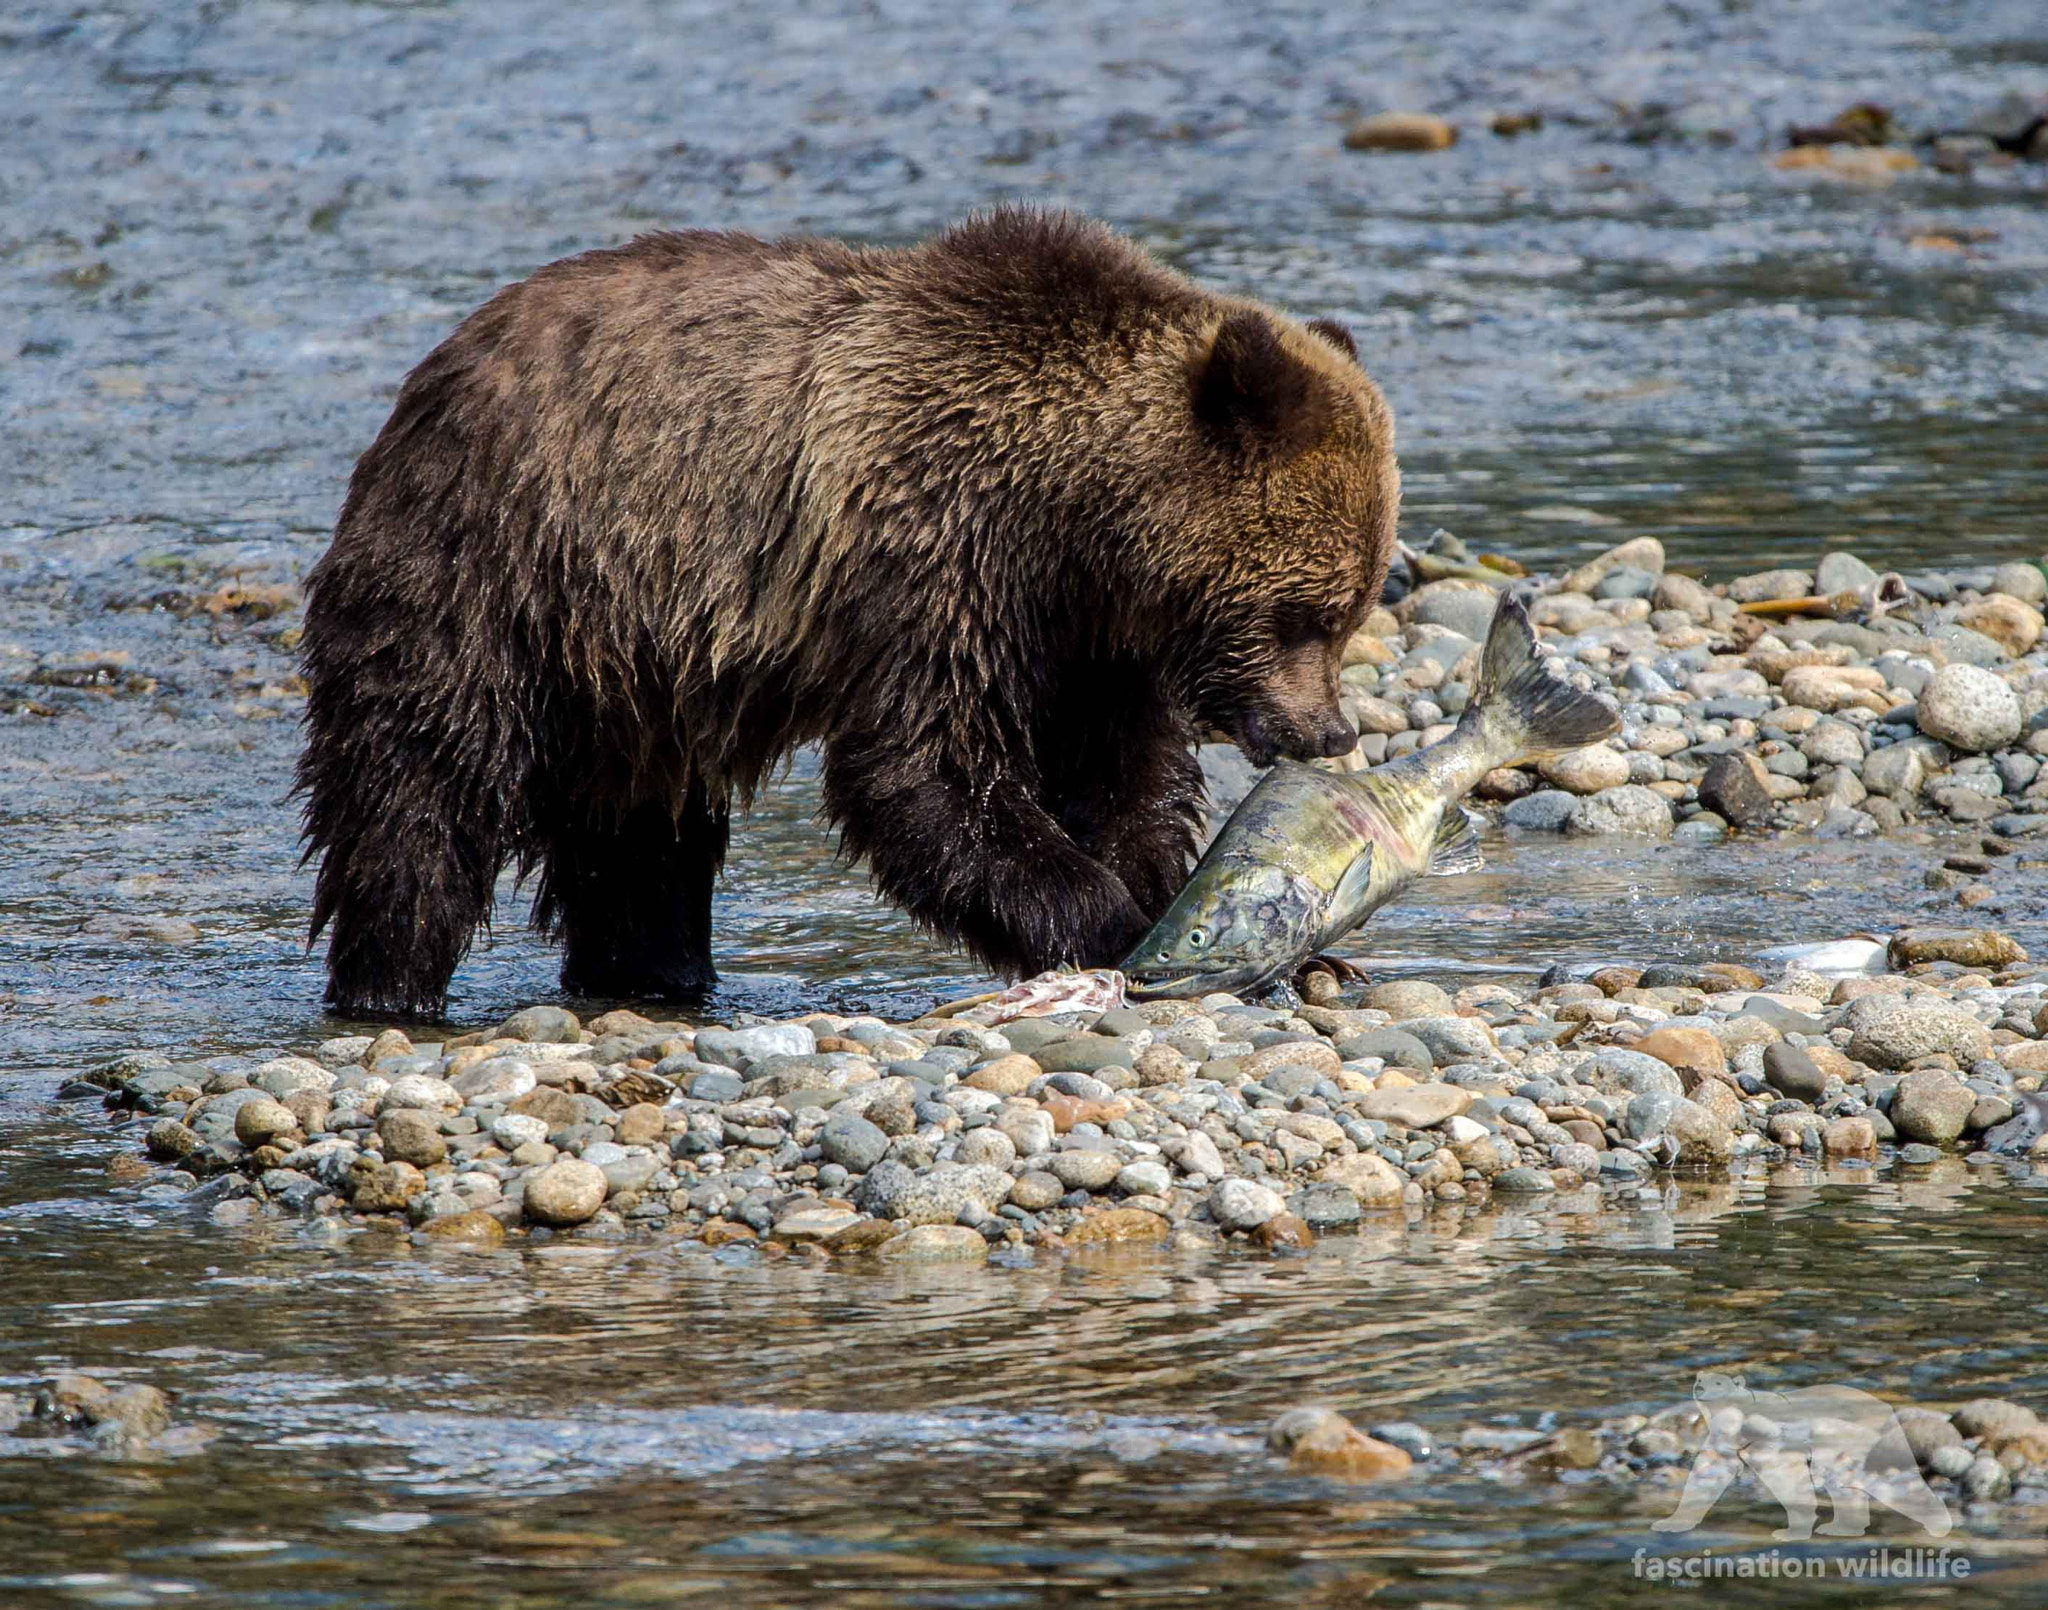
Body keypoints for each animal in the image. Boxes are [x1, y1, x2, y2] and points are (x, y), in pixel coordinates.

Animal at [296, 206, 1400, 1015]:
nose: (1325, 730)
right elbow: (923, 773)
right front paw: (1114, 922)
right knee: (419, 801)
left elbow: (1127, 779)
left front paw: (1274, 940)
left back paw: (652, 970)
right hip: (498, 571)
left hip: (632, 671)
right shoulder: (931, 557)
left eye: (1353, 608)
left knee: (640, 844)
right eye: (1305, 611)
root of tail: (432, 376)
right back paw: (389, 984)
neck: (1073, 521)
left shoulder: (1088, 640)